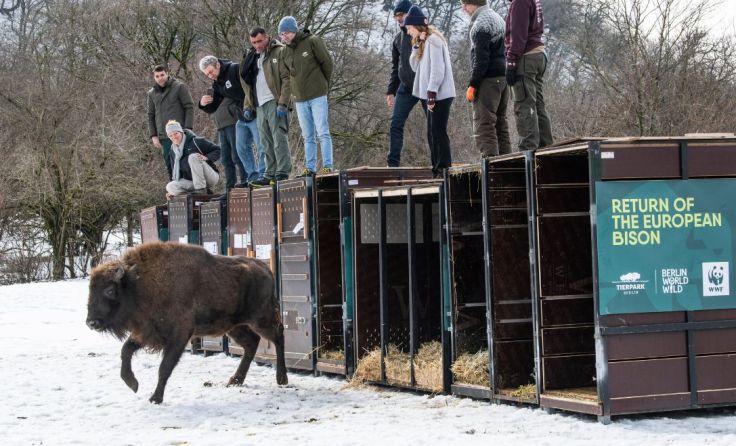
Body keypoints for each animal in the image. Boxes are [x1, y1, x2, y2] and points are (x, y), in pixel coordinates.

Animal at [85, 242, 287, 404]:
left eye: (110, 290)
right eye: (91, 289)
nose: (91, 322)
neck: (138, 283)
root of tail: (265, 268)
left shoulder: (179, 335)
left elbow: (164, 367)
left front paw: (155, 398)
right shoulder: (148, 332)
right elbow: (126, 350)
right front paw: (132, 383)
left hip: (261, 319)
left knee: (278, 336)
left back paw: (282, 378)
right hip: (234, 326)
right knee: (252, 343)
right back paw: (235, 381)